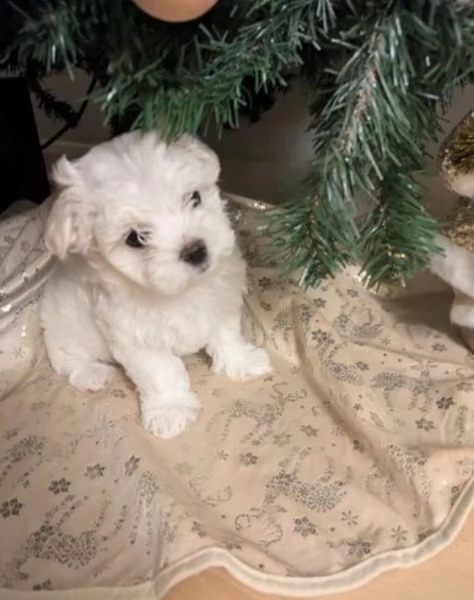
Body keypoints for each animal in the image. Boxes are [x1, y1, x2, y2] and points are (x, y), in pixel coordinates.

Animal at [41, 131, 270, 438]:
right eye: (135, 238)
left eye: (194, 197)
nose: (195, 251)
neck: (182, 291)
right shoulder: (134, 336)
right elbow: (161, 372)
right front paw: (170, 409)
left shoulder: (221, 302)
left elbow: (226, 335)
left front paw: (242, 361)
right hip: (64, 327)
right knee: (67, 361)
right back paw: (92, 374)